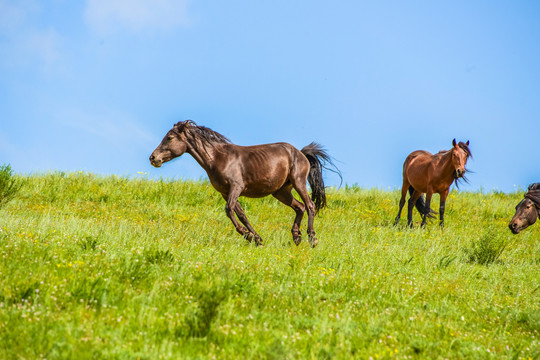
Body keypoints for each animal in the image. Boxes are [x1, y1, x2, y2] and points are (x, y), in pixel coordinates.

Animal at [150, 121, 340, 248]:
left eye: (170, 137)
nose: (153, 158)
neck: (218, 158)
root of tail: (300, 153)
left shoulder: (236, 187)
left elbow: (229, 210)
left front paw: (246, 235)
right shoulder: (225, 192)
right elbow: (241, 214)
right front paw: (257, 239)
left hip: (298, 182)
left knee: (310, 205)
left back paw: (312, 238)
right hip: (281, 192)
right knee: (299, 207)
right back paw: (296, 237)